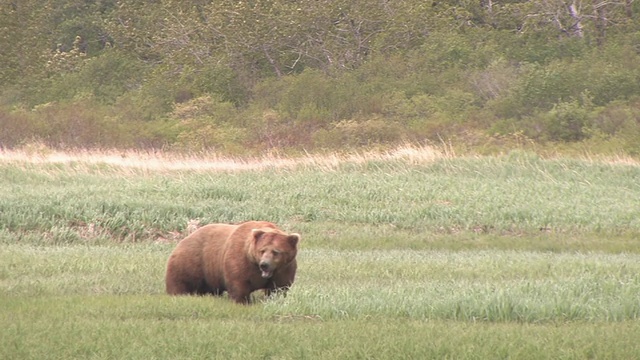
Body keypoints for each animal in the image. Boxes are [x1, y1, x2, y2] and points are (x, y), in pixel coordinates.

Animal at [168, 221, 302, 302]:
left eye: (276, 252)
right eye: (262, 250)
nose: (264, 265)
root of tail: (184, 239)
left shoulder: (284, 268)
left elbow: (279, 287)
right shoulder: (240, 260)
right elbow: (238, 283)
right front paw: (243, 301)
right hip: (191, 262)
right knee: (180, 281)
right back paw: (178, 294)